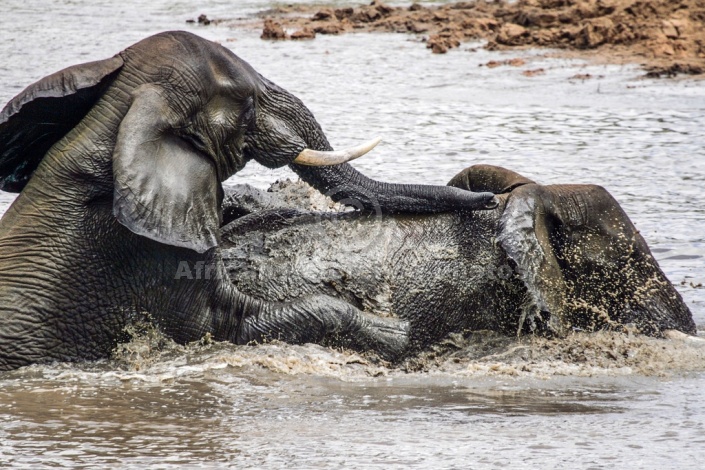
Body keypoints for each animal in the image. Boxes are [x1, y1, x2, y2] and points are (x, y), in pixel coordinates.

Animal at [0, 32, 498, 370]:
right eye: (247, 102)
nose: (490, 197)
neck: (117, 120)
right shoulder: (145, 258)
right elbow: (229, 323)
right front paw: (398, 333)